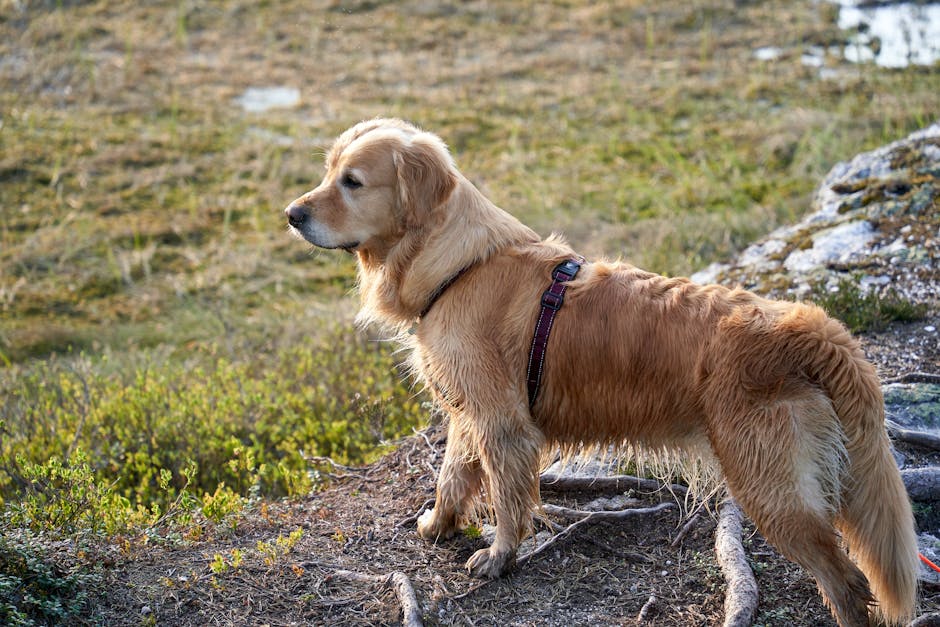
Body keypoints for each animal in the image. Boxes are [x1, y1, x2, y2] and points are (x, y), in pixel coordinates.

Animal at [284, 119, 916, 627]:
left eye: (353, 182)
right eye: (329, 171)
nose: (291, 214)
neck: (458, 265)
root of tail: (810, 327)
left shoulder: (503, 424)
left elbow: (506, 498)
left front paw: (499, 556)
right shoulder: (470, 412)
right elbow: (453, 476)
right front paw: (439, 524)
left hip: (770, 488)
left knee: (846, 582)